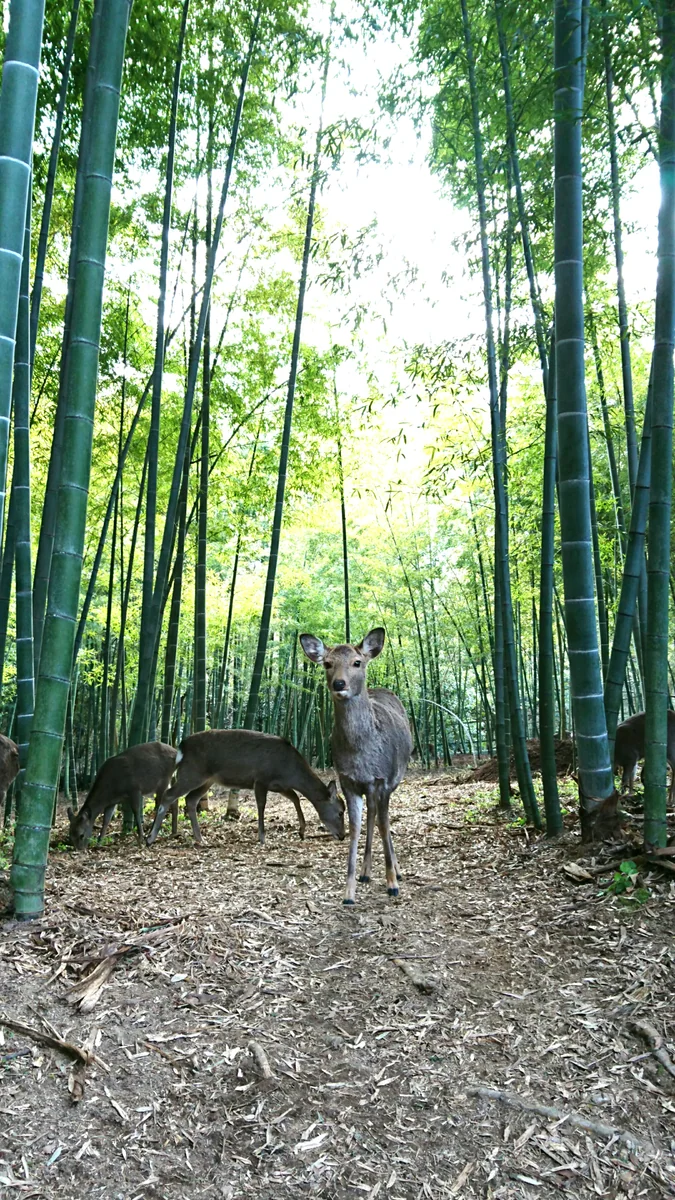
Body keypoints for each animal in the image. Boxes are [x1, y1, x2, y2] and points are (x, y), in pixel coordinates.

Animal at [145, 729, 346, 847]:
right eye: (341, 811)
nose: (343, 835)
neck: (290, 770)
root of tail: (181, 747)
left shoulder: (280, 785)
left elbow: (295, 797)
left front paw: (302, 831)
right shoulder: (261, 779)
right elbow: (261, 805)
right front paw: (263, 838)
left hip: (207, 779)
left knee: (191, 799)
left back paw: (200, 839)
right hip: (192, 773)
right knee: (169, 795)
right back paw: (150, 838)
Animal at [300, 627, 412, 905]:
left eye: (357, 662)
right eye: (327, 664)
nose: (339, 684)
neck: (361, 755)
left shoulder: (383, 779)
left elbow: (384, 825)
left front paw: (392, 884)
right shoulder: (348, 781)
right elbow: (354, 828)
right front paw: (348, 892)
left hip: (394, 778)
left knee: (383, 819)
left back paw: (396, 871)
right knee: (371, 815)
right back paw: (365, 872)